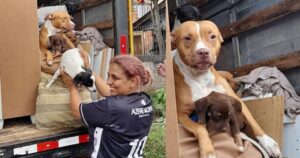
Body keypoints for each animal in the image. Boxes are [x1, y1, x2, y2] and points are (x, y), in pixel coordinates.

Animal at [171, 20, 282, 157]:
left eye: (212, 36)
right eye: (187, 38)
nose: (203, 52)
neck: (201, 77)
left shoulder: (234, 100)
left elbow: (253, 121)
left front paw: (268, 143)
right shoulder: (181, 115)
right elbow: (199, 127)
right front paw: (208, 150)